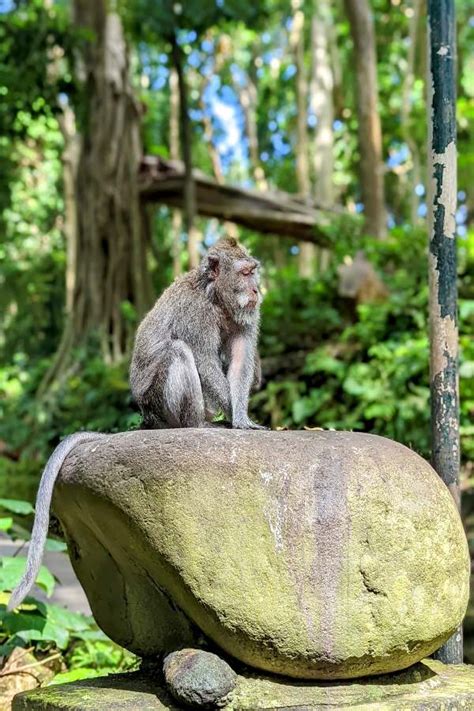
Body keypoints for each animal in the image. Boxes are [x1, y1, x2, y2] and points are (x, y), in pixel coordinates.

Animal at [130, 237, 265, 431]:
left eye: (253, 272)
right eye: (244, 273)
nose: (255, 290)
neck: (214, 298)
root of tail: (147, 419)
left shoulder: (246, 314)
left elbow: (240, 363)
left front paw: (241, 416)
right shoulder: (194, 312)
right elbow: (205, 362)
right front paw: (236, 416)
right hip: (157, 407)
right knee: (178, 350)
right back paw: (197, 423)